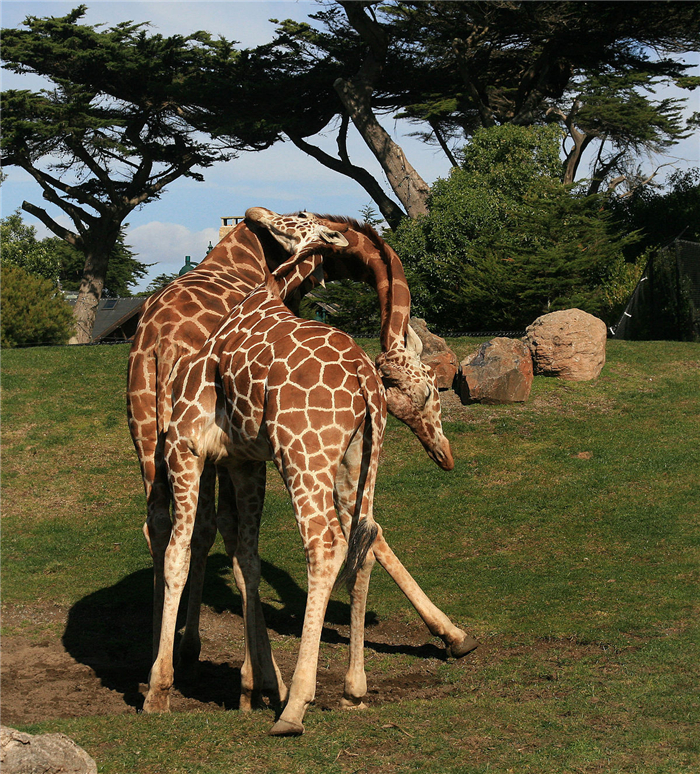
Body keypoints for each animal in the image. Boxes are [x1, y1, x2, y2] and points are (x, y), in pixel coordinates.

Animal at [127, 208, 476, 696]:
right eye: (428, 392)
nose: (444, 455)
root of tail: (162, 343)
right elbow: (363, 534)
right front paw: (453, 634)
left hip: (148, 430)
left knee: (166, 528)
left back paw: (170, 665)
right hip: (232, 446)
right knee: (236, 536)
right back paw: (259, 677)